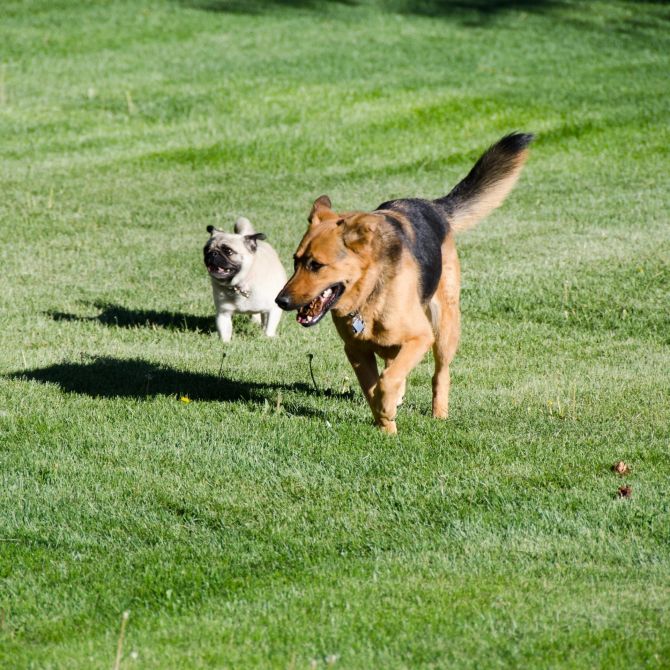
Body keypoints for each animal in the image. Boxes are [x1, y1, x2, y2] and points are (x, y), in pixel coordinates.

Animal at [276, 133, 532, 436]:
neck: (369, 293)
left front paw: (387, 410)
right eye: (295, 261)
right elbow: (372, 387)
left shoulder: (420, 337)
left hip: (444, 329)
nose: (281, 301)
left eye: (316, 265)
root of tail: (432, 207)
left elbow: (386, 382)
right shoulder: (356, 351)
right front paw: (386, 426)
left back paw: (439, 413)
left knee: (439, 374)